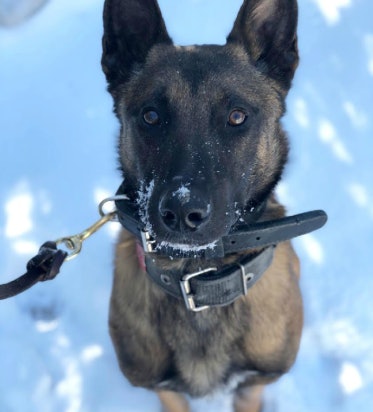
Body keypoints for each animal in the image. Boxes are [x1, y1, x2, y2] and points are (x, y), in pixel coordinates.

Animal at [101, 0, 302, 412]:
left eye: (237, 116)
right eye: (151, 115)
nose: (181, 213)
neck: (198, 278)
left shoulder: (253, 384)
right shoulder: (164, 388)